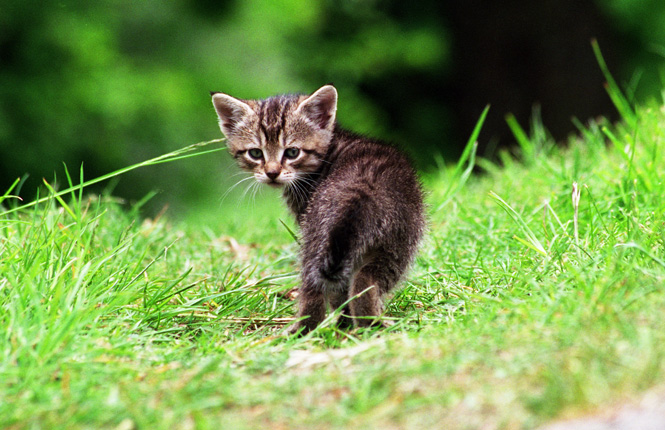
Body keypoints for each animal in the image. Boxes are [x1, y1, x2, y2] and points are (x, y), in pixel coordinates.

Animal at [210, 83, 422, 332]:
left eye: (292, 152)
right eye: (255, 153)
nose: (272, 173)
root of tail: (359, 191)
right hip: (385, 244)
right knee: (358, 282)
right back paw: (362, 326)